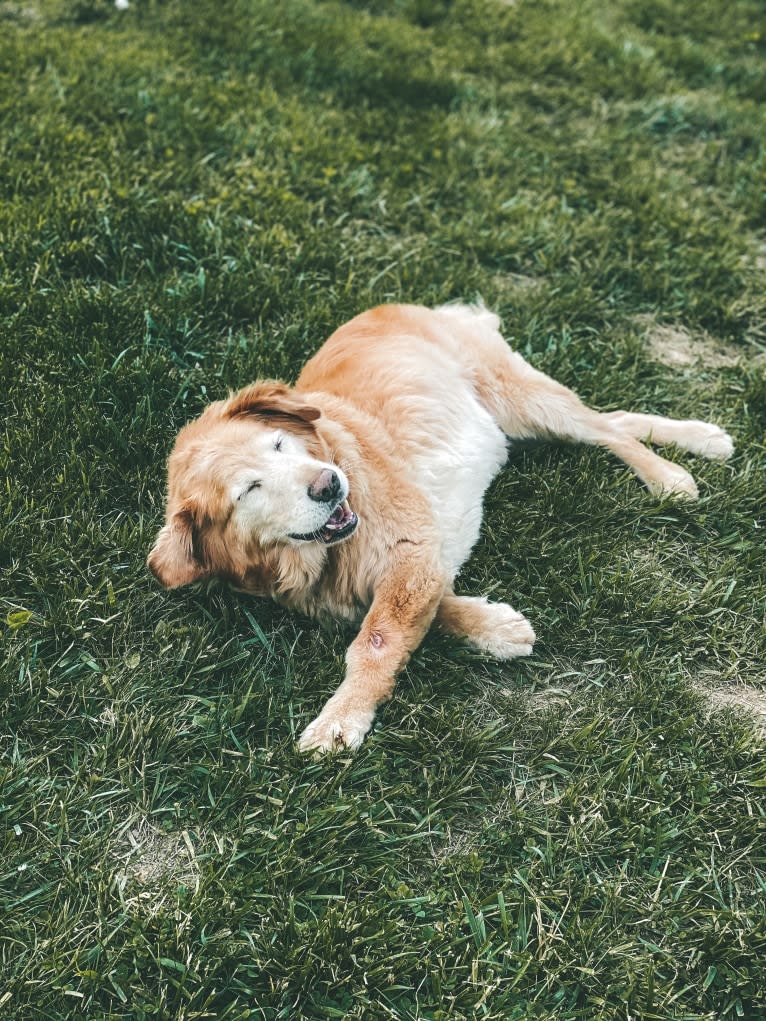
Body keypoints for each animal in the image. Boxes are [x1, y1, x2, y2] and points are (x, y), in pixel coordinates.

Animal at [148, 302, 731, 751]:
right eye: (249, 489)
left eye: (277, 444)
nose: (329, 485)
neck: (316, 560)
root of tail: (407, 305)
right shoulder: (392, 574)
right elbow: (420, 609)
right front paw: (496, 627)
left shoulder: (412, 550)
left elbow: (377, 639)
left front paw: (341, 718)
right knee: (613, 419)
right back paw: (703, 438)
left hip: (522, 399)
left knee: (607, 430)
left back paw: (670, 475)